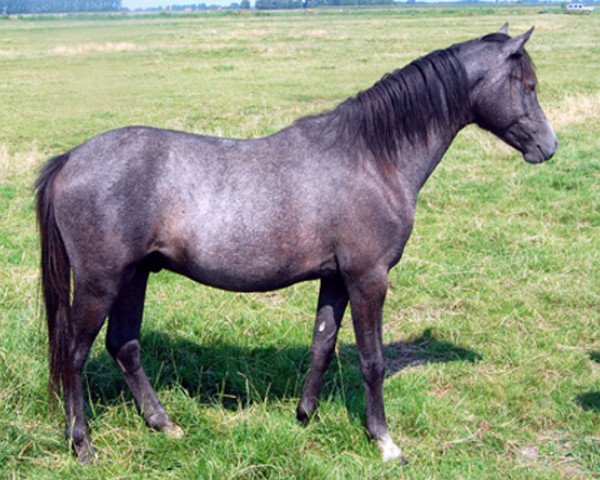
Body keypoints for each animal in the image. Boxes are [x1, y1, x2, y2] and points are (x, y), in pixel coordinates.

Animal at [34, 24, 556, 464]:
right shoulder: (368, 278)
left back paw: (165, 425)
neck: (373, 157)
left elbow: (322, 344)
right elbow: (372, 360)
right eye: (528, 85)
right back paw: (82, 444)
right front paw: (384, 441)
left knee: (124, 346)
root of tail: (69, 160)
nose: (549, 147)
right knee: (74, 354)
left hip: (135, 275)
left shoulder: (337, 279)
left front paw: (305, 417)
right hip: (101, 282)